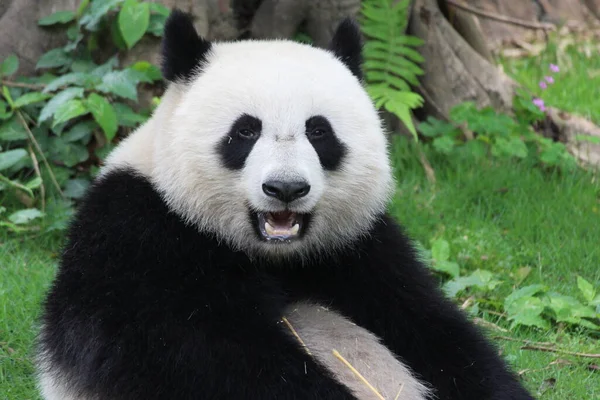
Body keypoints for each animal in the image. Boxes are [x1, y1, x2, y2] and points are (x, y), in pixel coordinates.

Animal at [36, 8, 536, 400]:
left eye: (319, 131)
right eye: (244, 131)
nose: (286, 188)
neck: (275, 255)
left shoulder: (359, 245)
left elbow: (435, 329)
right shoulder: (139, 238)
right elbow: (205, 355)